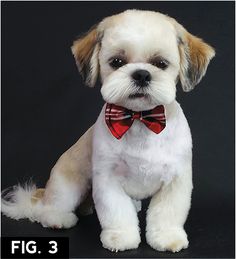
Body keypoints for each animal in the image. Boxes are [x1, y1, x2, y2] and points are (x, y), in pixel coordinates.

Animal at [0, 10, 215, 254]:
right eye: (117, 62)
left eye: (160, 63)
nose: (141, 74)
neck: (138, 120)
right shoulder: (108, 179)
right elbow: (117, 212)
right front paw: (121, 238)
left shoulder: (176, 179)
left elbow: (167, 213)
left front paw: (167, 236)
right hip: (67, 184)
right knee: (50, 207)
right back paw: (57, 218)